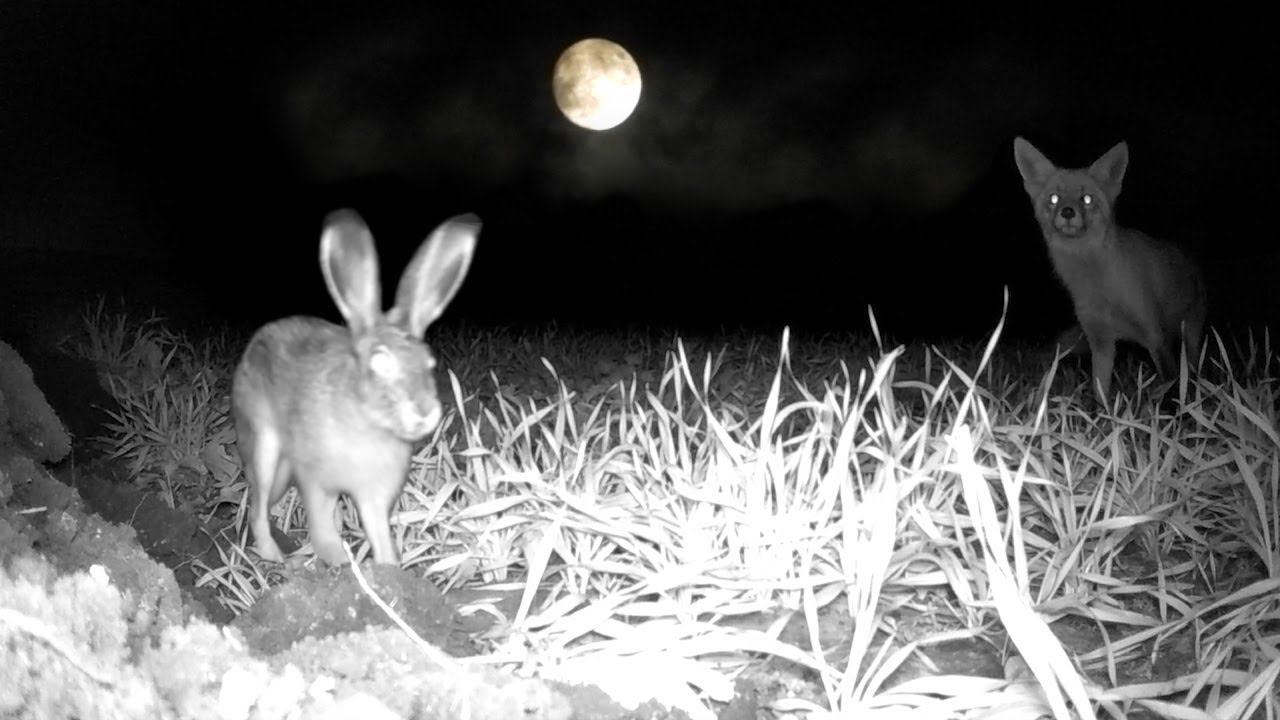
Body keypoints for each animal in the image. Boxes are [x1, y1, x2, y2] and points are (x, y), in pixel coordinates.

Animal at [1013, 137, 1206, 399]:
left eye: (1086, 199)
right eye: (1054, 198)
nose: (1067, 212)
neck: (1100, 287)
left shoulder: (1155, 336)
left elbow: (1173, 383)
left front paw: (1178, 408)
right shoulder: (1100, 342)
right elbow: (1100, 393)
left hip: (1191, 333)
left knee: (1192, 367)